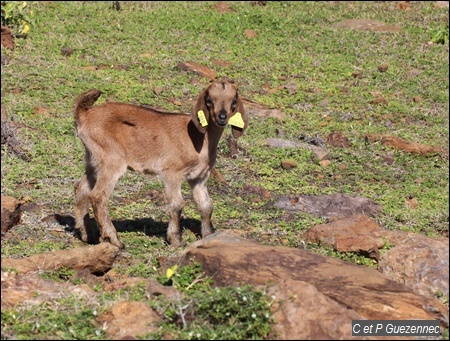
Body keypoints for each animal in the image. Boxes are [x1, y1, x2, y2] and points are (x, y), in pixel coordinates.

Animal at [74, 81, 250, 248]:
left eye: (234, 100)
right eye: (209, 100)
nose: (222, 117)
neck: (199, 138)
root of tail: (84, 114)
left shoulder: (198, 177)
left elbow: (206, 205)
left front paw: (209, 236)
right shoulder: (171, 172)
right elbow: (176, 204)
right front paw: (176, 240)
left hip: (93, 159)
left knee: (81, 190)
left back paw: (88, 236)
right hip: (111, 159)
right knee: (98, 196)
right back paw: (114, 240)